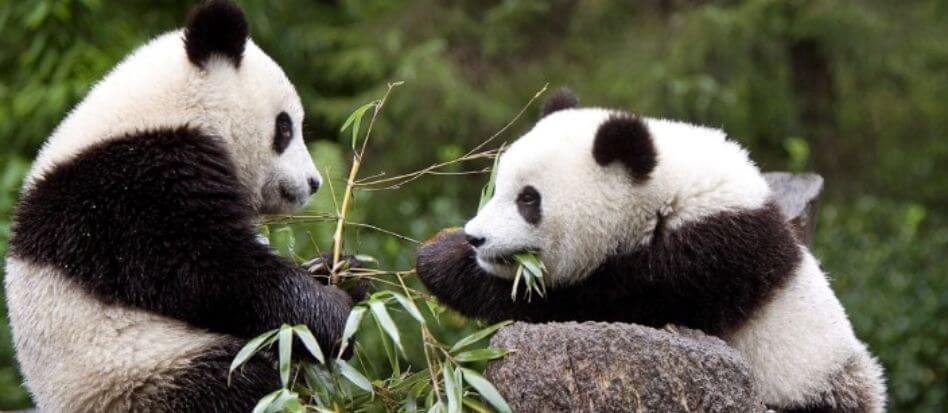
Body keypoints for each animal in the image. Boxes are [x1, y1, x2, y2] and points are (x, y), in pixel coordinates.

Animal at [418, 88, 884, 410]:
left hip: (812, 383)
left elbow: (583, 305)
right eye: (496, 188)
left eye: (528, 199)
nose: (477, 237)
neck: (665, 194)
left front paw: (440, 260)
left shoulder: (702, 259)